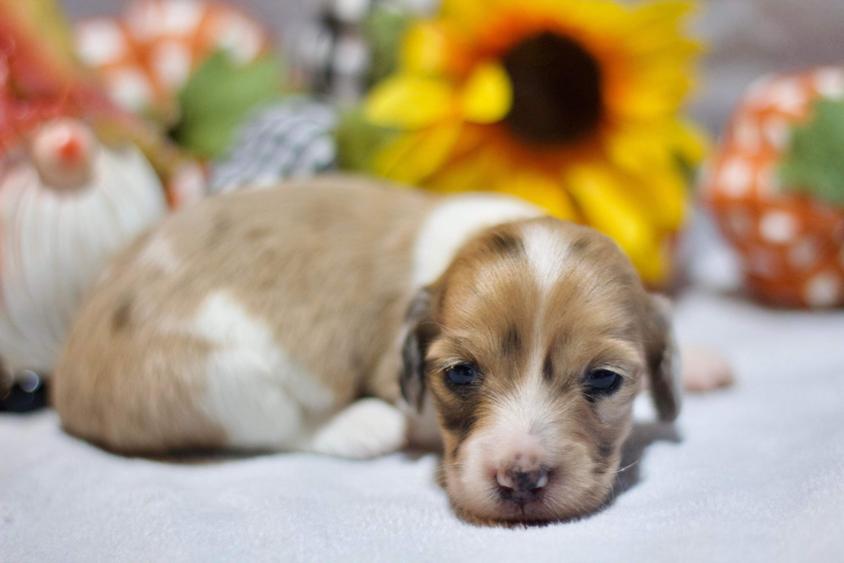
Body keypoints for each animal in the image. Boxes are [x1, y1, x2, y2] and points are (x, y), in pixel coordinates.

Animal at [54, 176, 684, 524]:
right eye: (460, 374)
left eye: (604, 379)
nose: (522, 478)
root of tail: (66, 387)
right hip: (221, 378)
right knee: (280, 426)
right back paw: (362, 428)